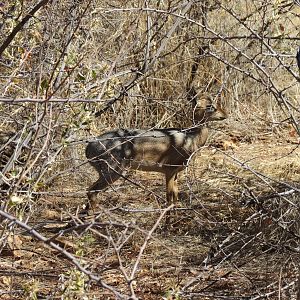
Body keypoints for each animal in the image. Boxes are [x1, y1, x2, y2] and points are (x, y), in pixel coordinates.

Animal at [85, 93, 226, 216]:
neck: (190, 138)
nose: (225, 115)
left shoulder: (175, 173)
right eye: (210, 106)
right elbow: (169, 197)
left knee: (90, 191)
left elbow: (176, 195)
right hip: (113, 171)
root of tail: (88, 147)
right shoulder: (169, 170)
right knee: (92, 191)